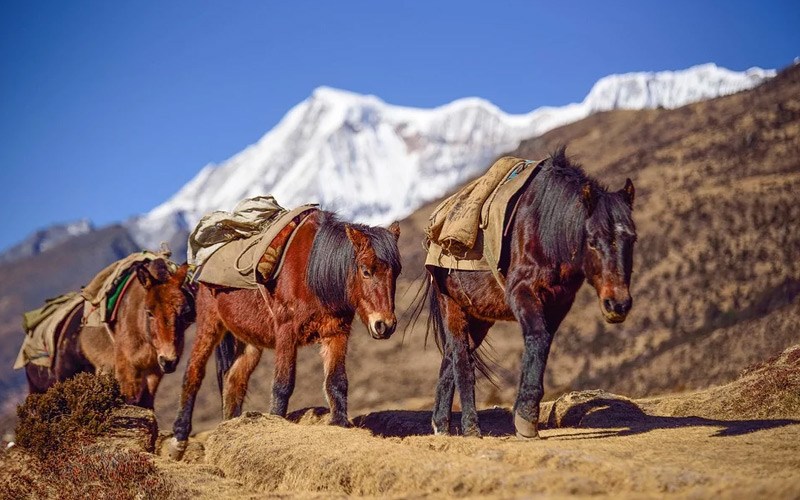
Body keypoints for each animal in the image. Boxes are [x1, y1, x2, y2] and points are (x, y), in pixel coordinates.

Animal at [25, 258, 195, 410]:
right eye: (149, 312)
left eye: (185, 312)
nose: (168, 361)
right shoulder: (126, 371)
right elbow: (130, 401)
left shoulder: (153, 373)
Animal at [171, 211, 404, 458]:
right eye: (366, 270)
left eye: (396, 272)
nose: (385, 325)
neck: (313, 272)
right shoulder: (286, 332)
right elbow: (283, 385)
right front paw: (275, 422)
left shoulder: (336, 333)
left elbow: (337, 381)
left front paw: (339, 424)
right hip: (209, 325)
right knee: (193, 374)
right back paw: (178, 440)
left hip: (250, 342)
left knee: (234, 380)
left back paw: (229, 428)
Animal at [422, 147, 636, 438]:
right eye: (592, 241)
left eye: (632, 239)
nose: (618, 304)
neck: (546, 229)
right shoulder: (521, 292)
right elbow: (537, 336)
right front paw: (525, 419)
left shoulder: (559, 303)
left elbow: (543, 343)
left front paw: (526, 412)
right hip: (452, 306)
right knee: (462, 360)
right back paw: (471, 427)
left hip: (478, 317)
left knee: (451, 357)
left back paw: (442, 426)